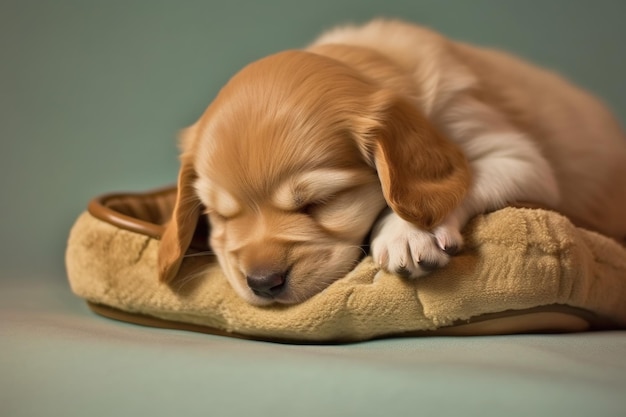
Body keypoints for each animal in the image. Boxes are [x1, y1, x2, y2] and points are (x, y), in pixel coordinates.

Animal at [156, 19, 624, 304]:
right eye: (220, 216)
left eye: (319, 204)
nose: (262, 283)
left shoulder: (516, 155)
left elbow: (466, 179)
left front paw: (407, 233)